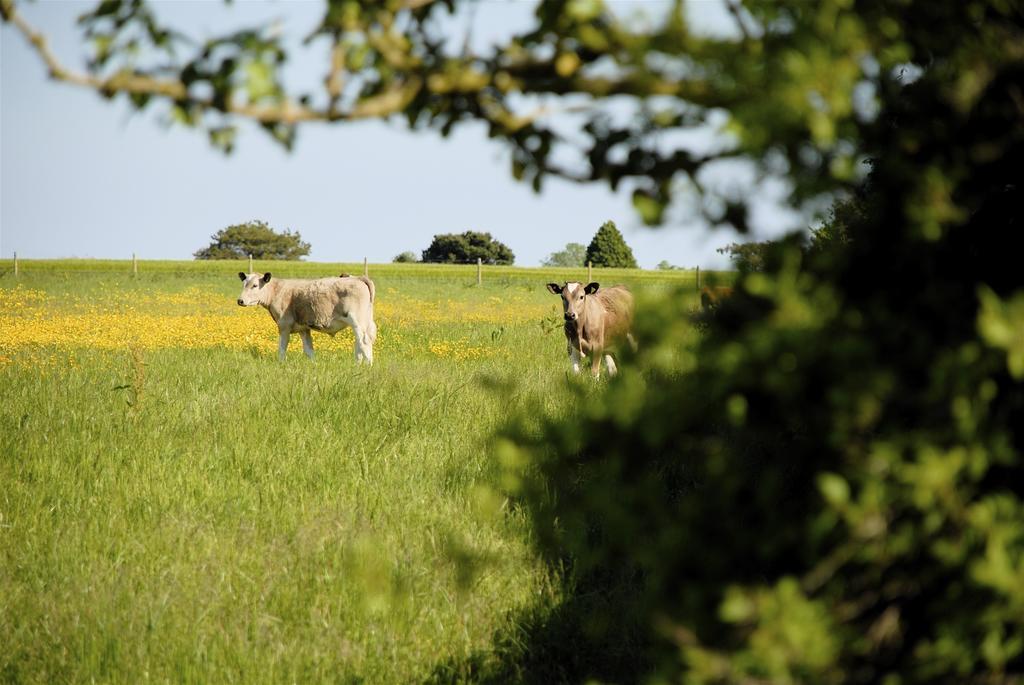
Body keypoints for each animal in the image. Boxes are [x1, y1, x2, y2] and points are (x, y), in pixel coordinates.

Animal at [235, 270, 376, 362]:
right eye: (244, 284)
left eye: (255, 285)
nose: (240, 301)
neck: (278, 291)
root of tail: (358, 278)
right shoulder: (303, 328)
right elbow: (309, 350)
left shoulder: (284, 326)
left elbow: (282, 348)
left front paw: (281, 364)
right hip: (363, 322)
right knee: (360, 342)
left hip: (357, 320)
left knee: (364, 342)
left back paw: (368, 366)